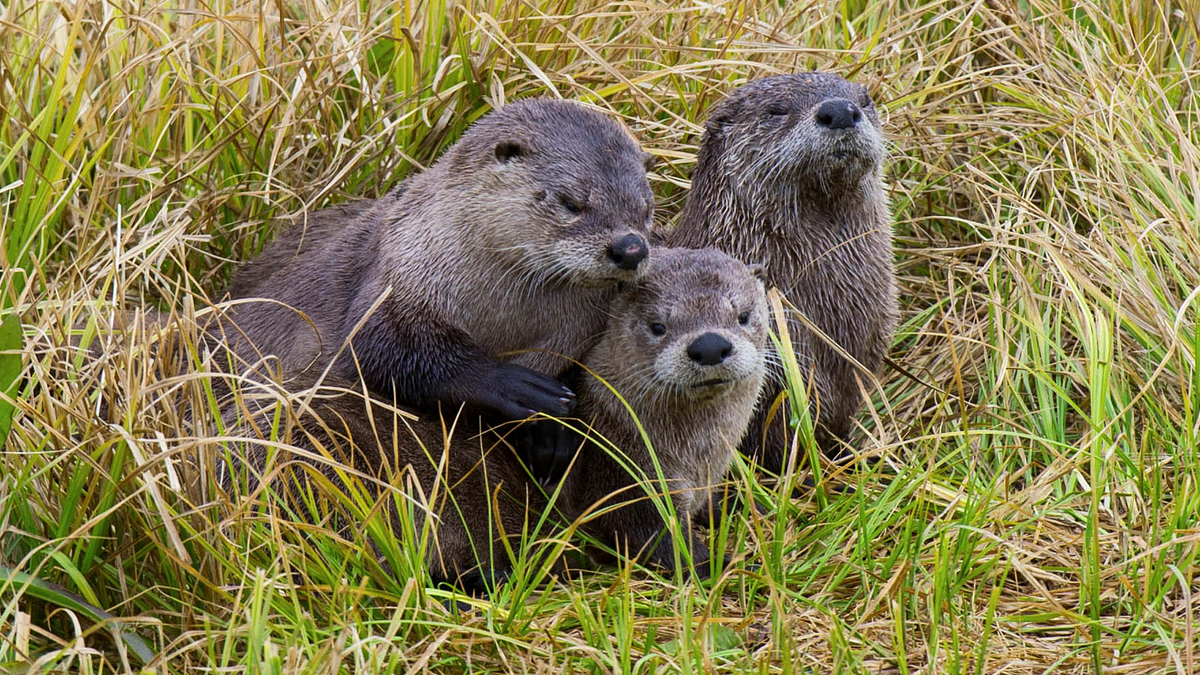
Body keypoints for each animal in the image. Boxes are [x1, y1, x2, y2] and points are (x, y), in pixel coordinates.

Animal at [220, 247, 767, 591]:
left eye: (742, 315)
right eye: (657, 326)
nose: (710, 345)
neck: (690, 456)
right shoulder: (619, 478)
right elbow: (641, 537)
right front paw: (718, 562)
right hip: (342, 480)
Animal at [223, 99, 655, 421]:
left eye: (647, 208)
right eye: (571, 203)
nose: (630, 248)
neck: (505, 318)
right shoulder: (398, 277)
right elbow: (380, 351)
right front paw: (520, 387)